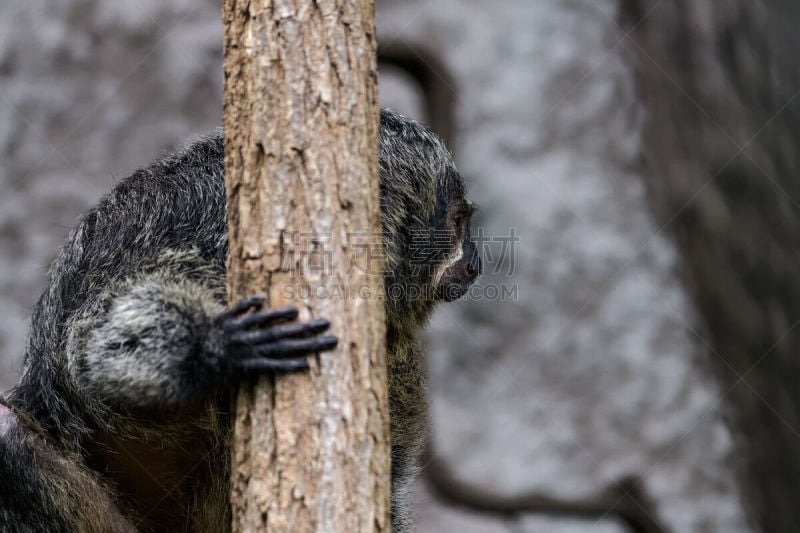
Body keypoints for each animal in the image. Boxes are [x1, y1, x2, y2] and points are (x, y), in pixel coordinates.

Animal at [0, 109, 478, 532]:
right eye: (459, 222)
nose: (474, 262)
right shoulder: (216, 251)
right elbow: (96, 347)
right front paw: (218, 349)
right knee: (10, 436)